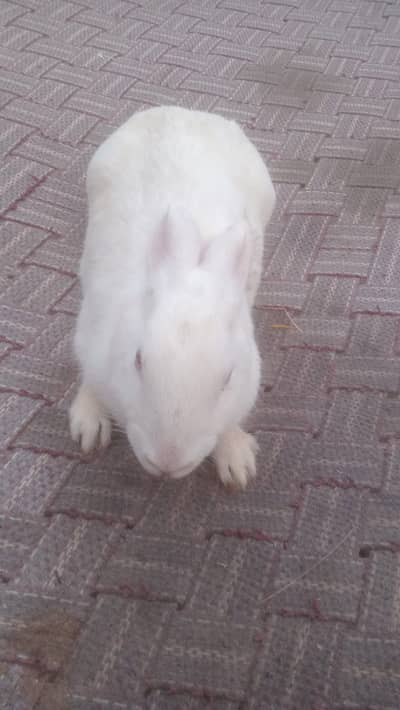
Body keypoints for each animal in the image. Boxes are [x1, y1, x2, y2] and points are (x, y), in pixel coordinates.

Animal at [69, 105, 275, 489]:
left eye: (228, 378)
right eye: (137, 360)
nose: (167, 461)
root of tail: (182, 111)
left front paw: (237, 462)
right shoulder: (90, 336)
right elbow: (90, 378)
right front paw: (89, 424)